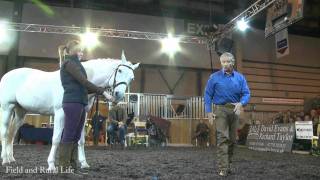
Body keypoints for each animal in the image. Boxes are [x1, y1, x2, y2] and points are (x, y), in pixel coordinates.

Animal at [0, 51, 140, 170]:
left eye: (132, 78)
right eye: (120, 70)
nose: (118, 95)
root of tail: (7, 75)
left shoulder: (83, 116)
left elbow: (80, 140)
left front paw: (84, 163)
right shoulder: (60, 114)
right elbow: (56, 139)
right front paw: (51, 165)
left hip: (20, 112)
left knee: (12, 133)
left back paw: (11, 158)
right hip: (7, 108)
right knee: (5, 133)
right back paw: (4, 159)